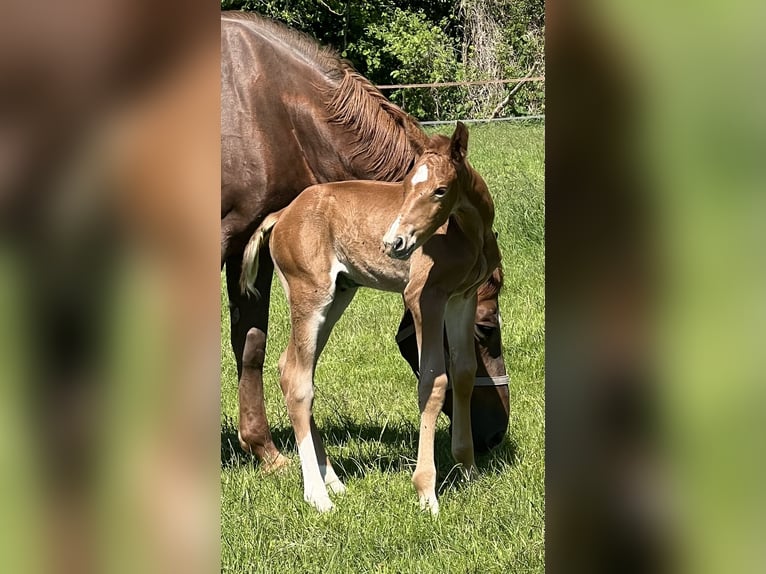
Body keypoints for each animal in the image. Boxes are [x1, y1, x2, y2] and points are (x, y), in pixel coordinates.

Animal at [220, 12, 510, 469]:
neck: (270, 106)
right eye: (486, 329)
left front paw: (264, 450)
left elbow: (250, 344)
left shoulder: (248, 248)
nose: (496, 434)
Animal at [240, 122, 500, 514]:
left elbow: (464, 373)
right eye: (406, 186)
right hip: (310, 296)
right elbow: (434, 381)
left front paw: (468, 470)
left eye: (440, 190)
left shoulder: (461, 298)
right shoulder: (424, 298)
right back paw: (317, 495)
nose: (395, 242)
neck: (468, 232)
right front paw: (427, 492)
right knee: (299, 381)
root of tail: (281, 214)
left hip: (338, 296)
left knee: (290, 369)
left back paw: (333, 482)